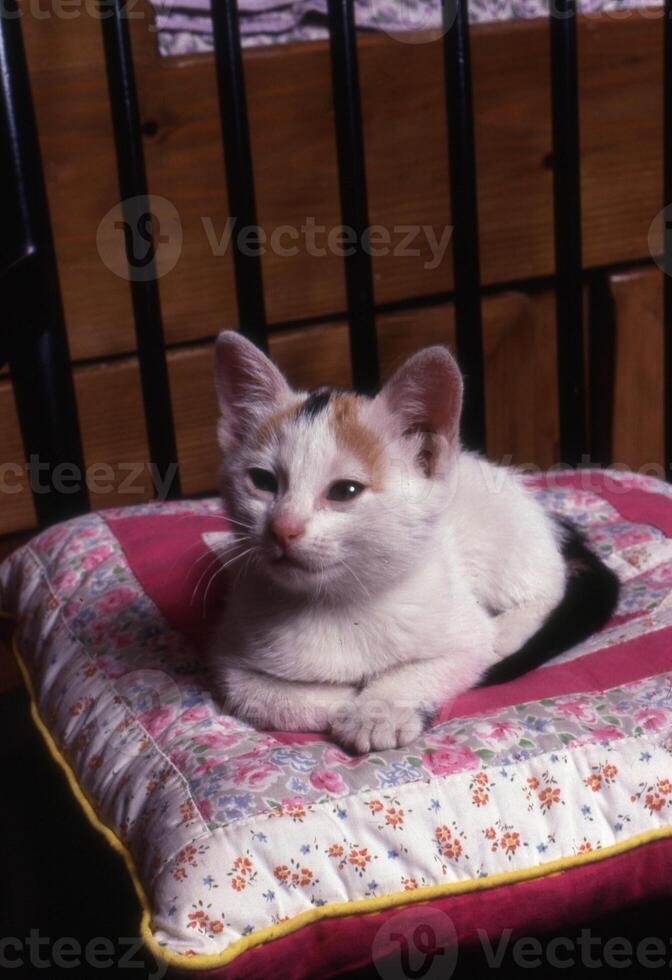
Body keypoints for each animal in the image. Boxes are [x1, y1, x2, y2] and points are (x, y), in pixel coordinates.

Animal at [209, 334, 620, 756]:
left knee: (547, 590)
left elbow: (440, 663)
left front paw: (377, 711)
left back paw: (506, 631)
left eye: (345, 491)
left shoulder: (461, 634)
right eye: (262, 481)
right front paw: (338, 701)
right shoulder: (229, 651)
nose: (282, 528)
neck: (337, 602)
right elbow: (258, 694)